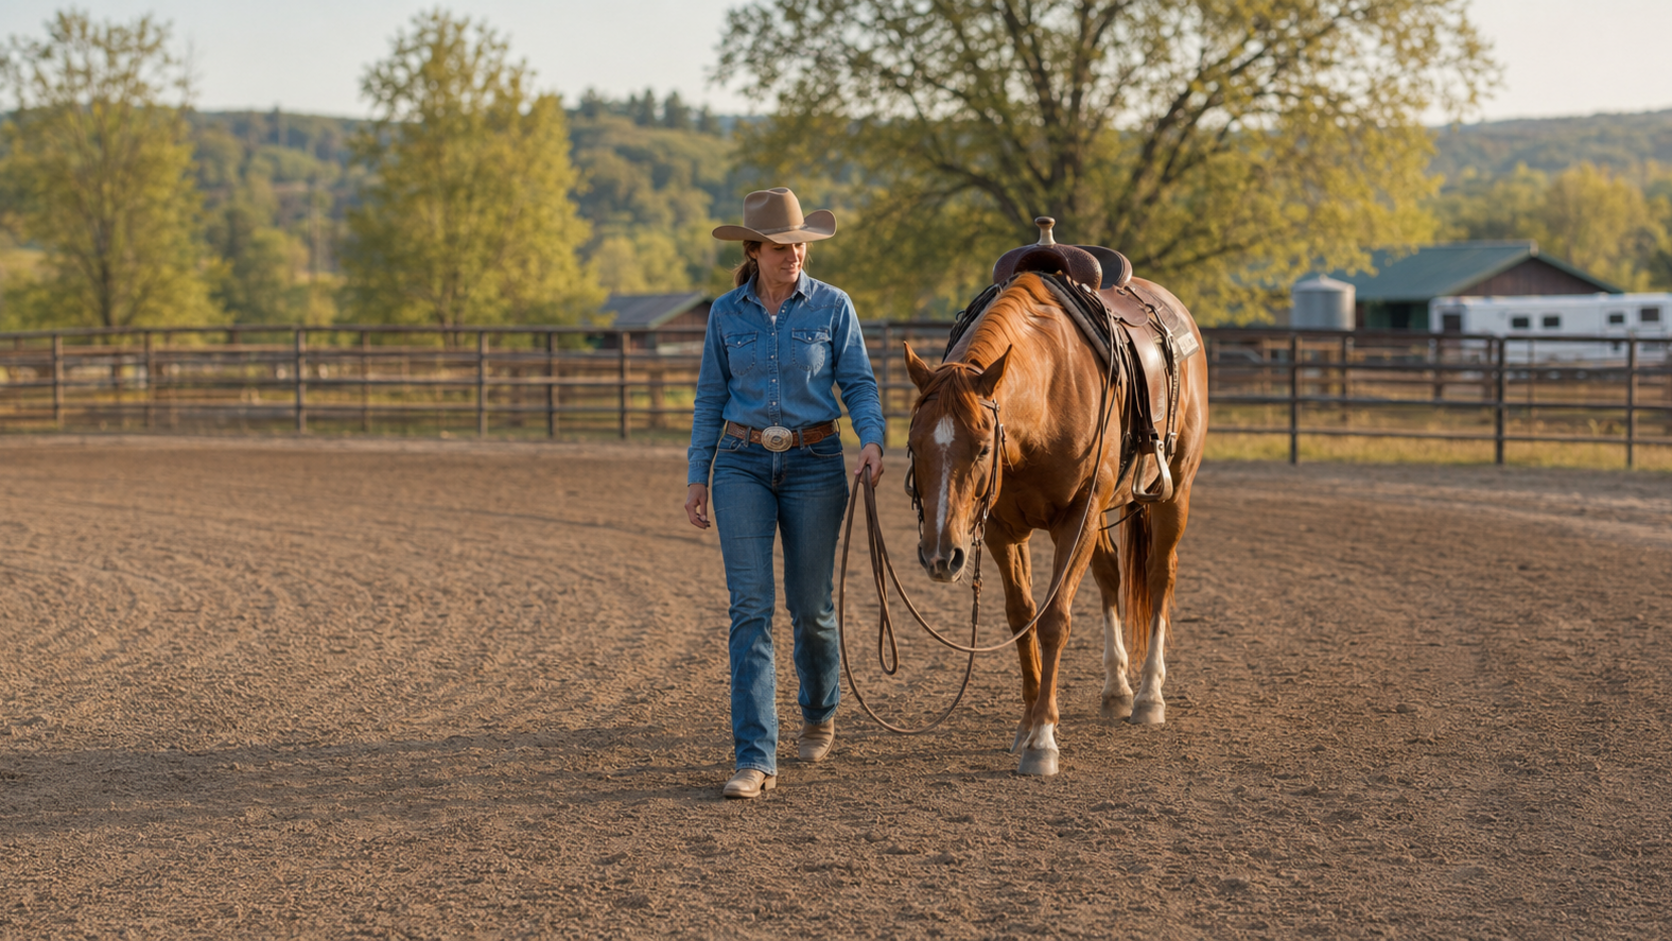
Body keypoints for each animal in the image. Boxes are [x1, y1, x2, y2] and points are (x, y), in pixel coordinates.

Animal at [901, 270, 1208, 776]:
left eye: (983, 448)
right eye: (913, 444)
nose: (941, 557)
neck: (1045, 396)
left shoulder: (1077, 518)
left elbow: (1054, 620)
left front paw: (1043, 739)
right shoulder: (1003, 528)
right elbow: (1021, 615)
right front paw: (1026, 724)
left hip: (1174, 491)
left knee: (1161, 575)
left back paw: (1149, 696)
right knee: (1110, 575)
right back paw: (1117, 690)